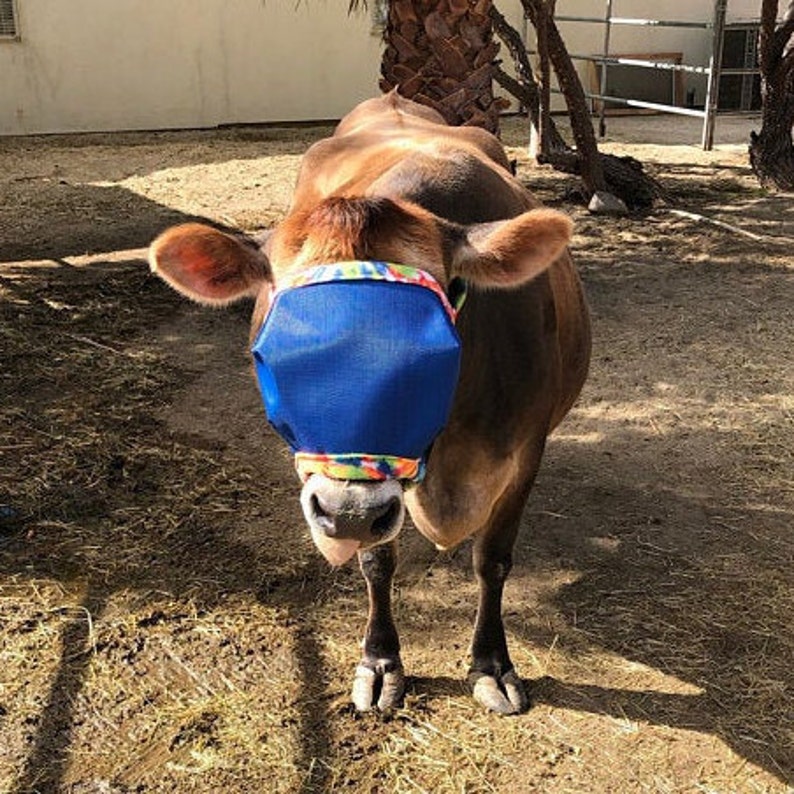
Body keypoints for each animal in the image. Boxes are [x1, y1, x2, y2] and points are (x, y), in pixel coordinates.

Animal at [148, 91, 591, 715]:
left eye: (432, 349)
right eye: (276, 350)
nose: (350, 513)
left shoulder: (526, 450)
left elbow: (493, 559)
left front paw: (492, 663)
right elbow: (377, 559)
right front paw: (381, 661)